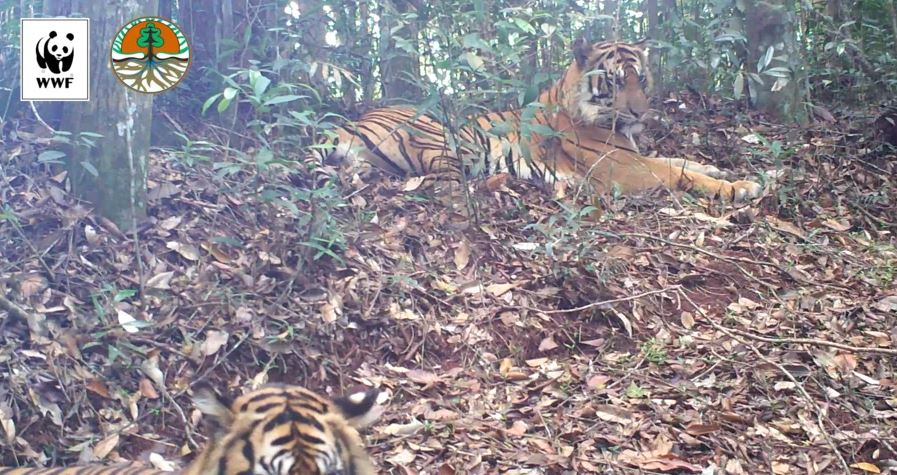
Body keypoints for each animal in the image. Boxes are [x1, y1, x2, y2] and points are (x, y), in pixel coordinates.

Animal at [308, 39, 762, 202]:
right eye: (615, 81)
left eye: (641, 78)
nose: (639, 112)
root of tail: (348, 124)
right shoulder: (623, 168)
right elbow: (678, 172)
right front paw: (740, 186)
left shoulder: (635, 156)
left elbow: (680, 161)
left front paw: (719, 169)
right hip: (447, 139)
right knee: (444, 186)